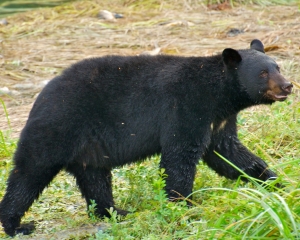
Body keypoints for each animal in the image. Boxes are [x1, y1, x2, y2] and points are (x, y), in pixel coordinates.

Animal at [0, 39, 292, 236]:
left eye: (277, 66)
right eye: (263, 73)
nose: (288, 85)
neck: (218, 94)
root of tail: (41, 96)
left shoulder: (218, 121)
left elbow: (230, 154)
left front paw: (275, 183)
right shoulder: (186, 106)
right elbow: (179, 156)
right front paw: (182, 206)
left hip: (88, 147)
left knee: (94, 178)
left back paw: (114, 212)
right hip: (58, 126)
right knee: (29, 173)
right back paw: (16, 224)